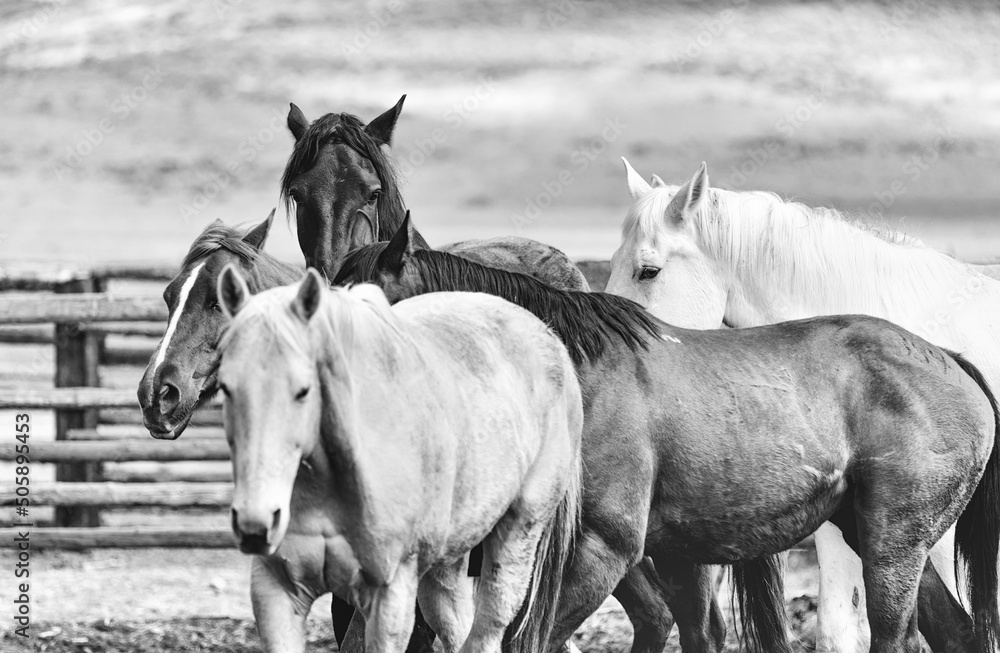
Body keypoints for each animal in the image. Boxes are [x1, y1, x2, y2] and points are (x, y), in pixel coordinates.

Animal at [216, 266, 583, 653]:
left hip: (518, 533)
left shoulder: (389, 597)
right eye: (225, 387)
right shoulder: (276, 591)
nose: (255, 523)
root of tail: (550, 339)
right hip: (446, 560)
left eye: (303, 390)